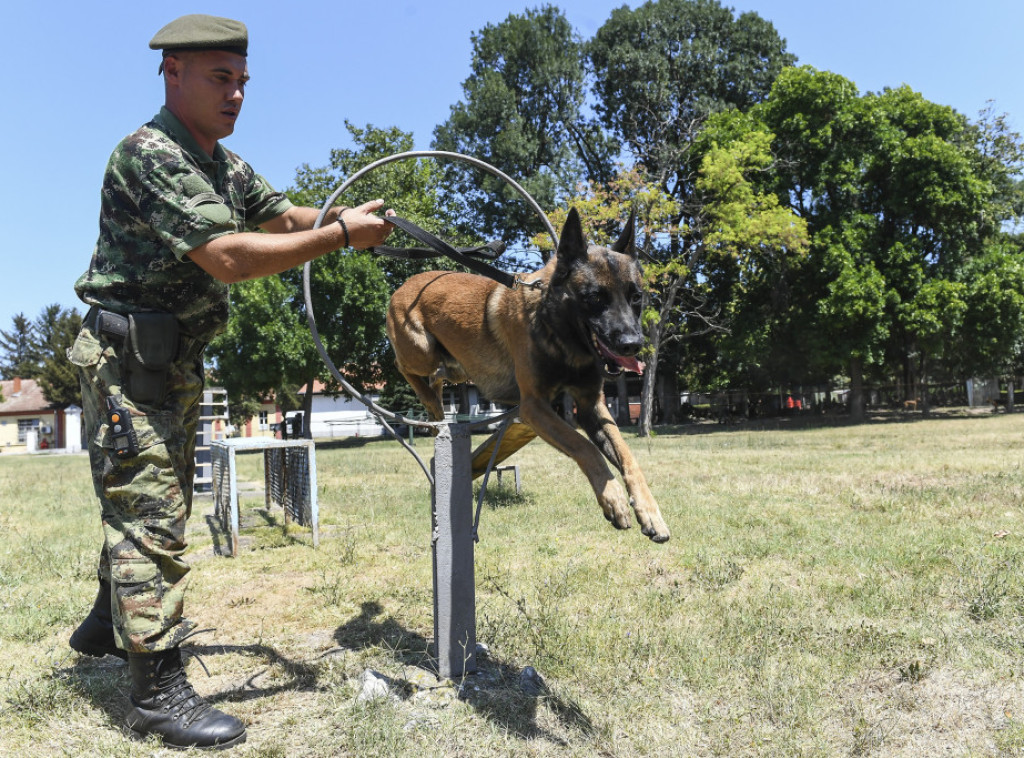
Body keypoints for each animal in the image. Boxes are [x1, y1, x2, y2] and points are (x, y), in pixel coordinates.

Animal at [385, 206, 671, 540]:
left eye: (636, 297)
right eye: (594, 298)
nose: (632, 344)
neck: (561, 335)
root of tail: (405, 285)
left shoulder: (591, 406)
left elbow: (628, 456)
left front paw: (650, 512)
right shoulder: (534, 407)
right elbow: (584, 446)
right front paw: (613, 497)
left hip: (452, 366)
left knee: (440, 377)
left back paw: (437, 400)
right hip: (422, 351)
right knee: (404, 367)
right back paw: (429, 399)